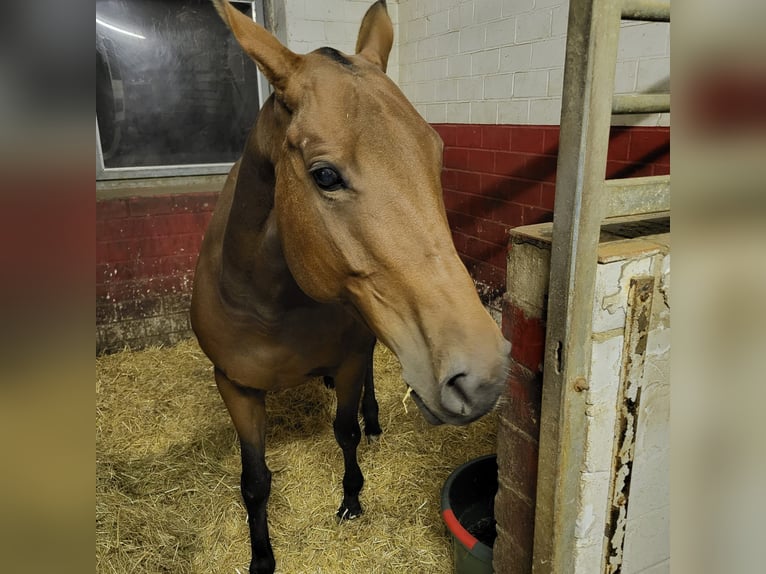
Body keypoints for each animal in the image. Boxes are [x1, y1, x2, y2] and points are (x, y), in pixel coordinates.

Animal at [190, 2, 511, 572]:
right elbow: (254, 481)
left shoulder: (349, 360)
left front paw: (352, 498)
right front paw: (261, 558)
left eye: (435, 153)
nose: (482, 376)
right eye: (324, 176)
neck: (271, 305)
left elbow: (346, 431)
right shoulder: (235, 386)